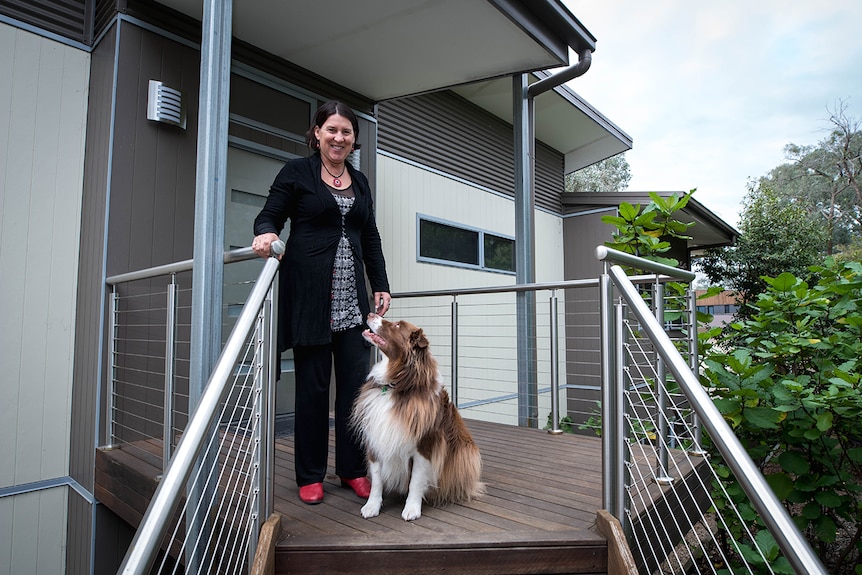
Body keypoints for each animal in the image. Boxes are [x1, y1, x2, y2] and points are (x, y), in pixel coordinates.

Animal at [352, 316, 486, 520]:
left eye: (397, 325)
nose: (369, 315)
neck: (394, 385)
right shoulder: (376, 437)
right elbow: (376, 479)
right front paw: (372, 505)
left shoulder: (425, 445)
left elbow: (416, 480)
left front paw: (412, 509)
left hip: (466, 451)